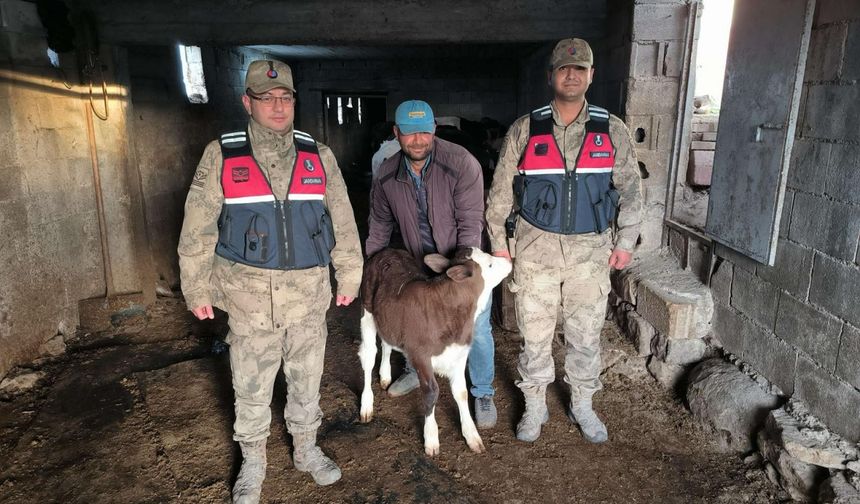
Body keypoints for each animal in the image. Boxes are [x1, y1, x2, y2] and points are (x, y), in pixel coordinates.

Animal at [356, 248, 510, 456]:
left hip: (389, 319)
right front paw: (431, 438)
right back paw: (366, 405)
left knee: (387, 343)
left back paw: (385, 376)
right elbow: (431, 392)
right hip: (367, 310)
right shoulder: (420, 355)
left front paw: (471, 434)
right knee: (368, 356)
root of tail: (387, 250)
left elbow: (461, 392)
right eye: (490, 264)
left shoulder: (460, 353)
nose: (509, 261)